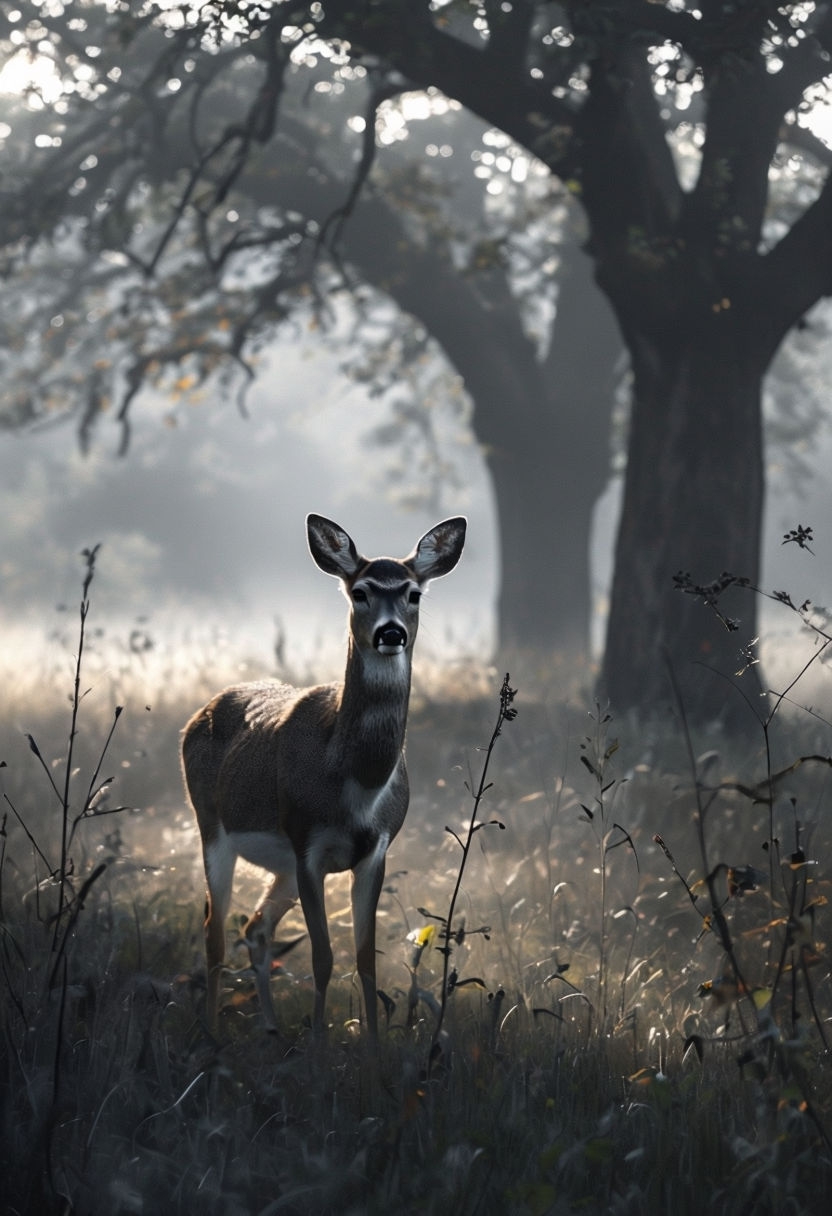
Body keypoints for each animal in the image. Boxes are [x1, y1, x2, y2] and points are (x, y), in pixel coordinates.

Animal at [182, 508, 464, 1040]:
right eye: (361, 591)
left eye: (413, 593)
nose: (391, 633)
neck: (356, 784)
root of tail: (199, 713)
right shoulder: (306, 842)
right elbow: (322, 958)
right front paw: (317, 1045)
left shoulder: (374, 850)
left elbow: (365, 960)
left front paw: (372, 1050)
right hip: (212, 827)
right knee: (214, 930)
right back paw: (210, 1032)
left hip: (280, 867)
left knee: (255, 927)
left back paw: (271, 1028)